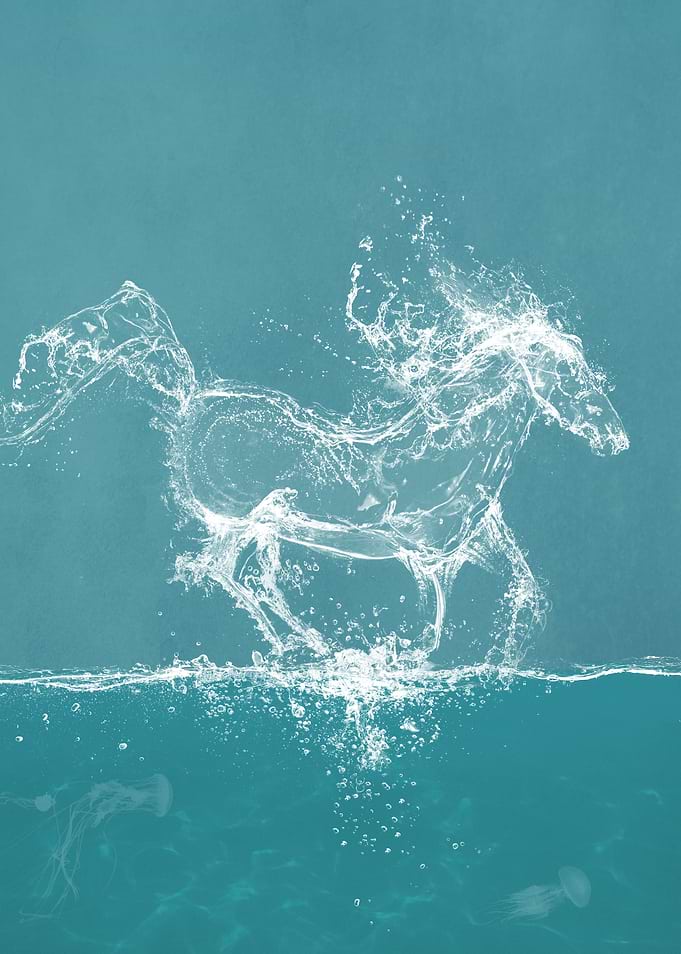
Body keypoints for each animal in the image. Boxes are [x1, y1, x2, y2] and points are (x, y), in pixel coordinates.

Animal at [0, 280, 628, 664]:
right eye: (569, 376)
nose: (617, 440)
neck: (451, 448)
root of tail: (189, 401)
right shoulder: (426, 555)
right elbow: (432, 629)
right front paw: (396, 659)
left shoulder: (477, 541)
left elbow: (529, 592)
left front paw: (504, 656)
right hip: (247, 521)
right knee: (232, 574)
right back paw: (307, 646)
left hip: (260, 527)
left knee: (238, 575)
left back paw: (299, 646)